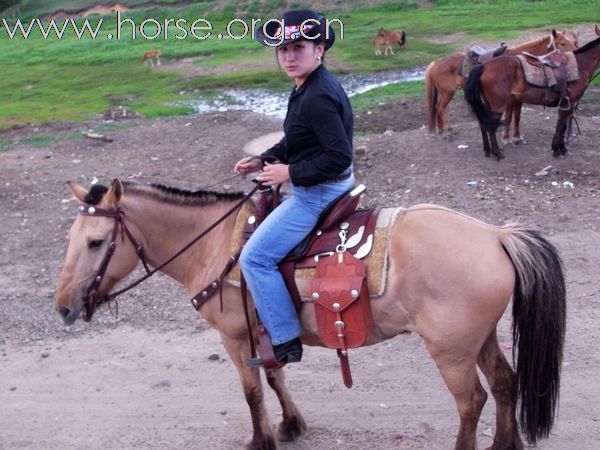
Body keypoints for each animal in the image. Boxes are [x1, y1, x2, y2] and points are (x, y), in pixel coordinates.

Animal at [52, 179, 568, 450]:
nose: (63, 307)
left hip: (452, 351)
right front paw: (291, 425)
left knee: (471, 402)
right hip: (481, 338)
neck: (212, 245)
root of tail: (496, 235)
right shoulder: (266, 333)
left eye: (96, 242)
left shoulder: (235, 338)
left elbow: (251, 392)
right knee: (504, 384)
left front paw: (261, 439)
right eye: (71, 238)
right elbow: (276, 376)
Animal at [424, 29, 580, 138]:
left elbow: (516, 116)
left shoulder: (518, 98)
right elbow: (510, 116)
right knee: (440, 108)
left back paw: (442, 131)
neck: (519, 62)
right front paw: (507, 137)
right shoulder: (511, 98)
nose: (576, 53)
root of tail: (435, 63)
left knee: (437, 108)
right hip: (448, 92)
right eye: (563, 43)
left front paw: (516, 136)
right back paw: (449, 130)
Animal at [464, 33, 600, 160]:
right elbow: (561, 127)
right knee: (490, 128)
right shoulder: (567, 104)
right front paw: (557, 149)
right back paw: (497, 153)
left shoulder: (569, 106)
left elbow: (563, 126)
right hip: (497, 106)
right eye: (562, 43)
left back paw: (487, 150)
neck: (580, 64)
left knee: (483, 125)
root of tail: (483, 66)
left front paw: (562, 148)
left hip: (488, 104)